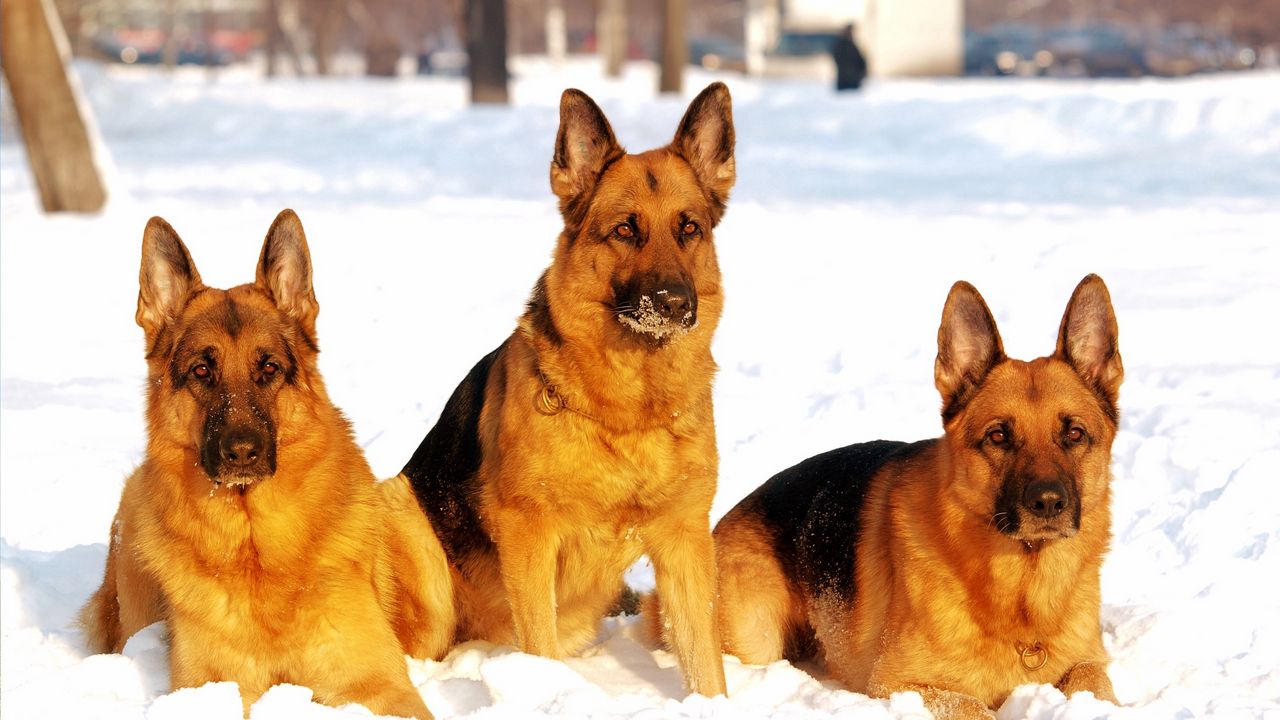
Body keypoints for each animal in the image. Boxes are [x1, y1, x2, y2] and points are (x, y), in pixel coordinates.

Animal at [78, 210, 450, 712]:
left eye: (269, 367)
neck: (256, 545)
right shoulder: (212, 689)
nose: (241, 451)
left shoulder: (378, 688)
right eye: (201, 370)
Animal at [399, 82, 742, 696]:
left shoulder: (685, 544)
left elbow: (705, 661)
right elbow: (539, 645)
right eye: (626, 229)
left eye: (689, 228)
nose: (676, 304)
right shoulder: (530, 537)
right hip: (407, 521)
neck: (628, 411)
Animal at [711, 272, 1121, 712]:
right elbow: (972, 706)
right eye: (998, 436)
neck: (1022, 594)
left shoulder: (1088, 662)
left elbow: (1093, 682)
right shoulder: (898, 684)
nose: (1047, 502)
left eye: (1074, 434)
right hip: (756, 637)